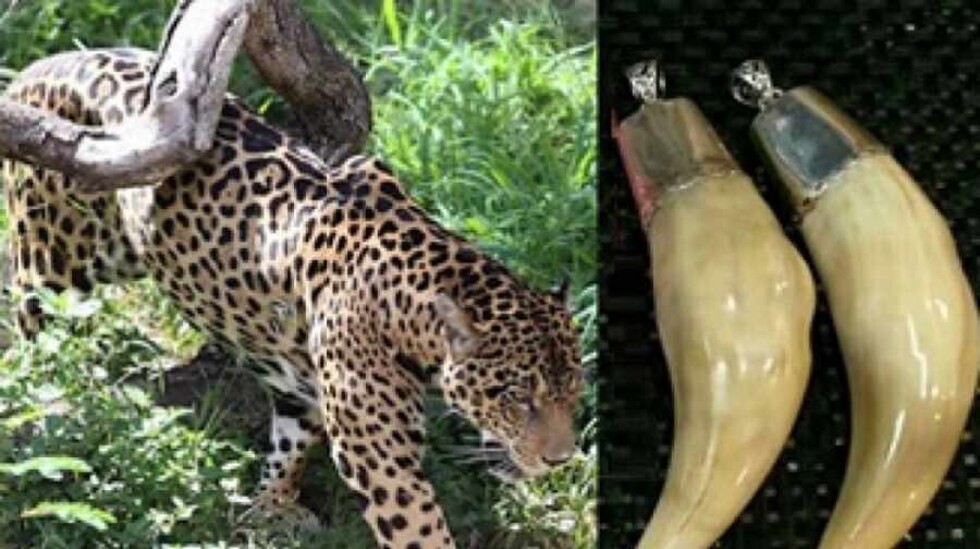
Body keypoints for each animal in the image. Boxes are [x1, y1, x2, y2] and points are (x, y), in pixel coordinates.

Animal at [0, 48, 583, 548]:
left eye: (572, 392)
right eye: (517, 397)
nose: (560, 460)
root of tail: (36, 68)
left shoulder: (301, 378)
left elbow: (292, 438)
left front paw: (270, 507)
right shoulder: (380, 458)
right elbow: (419, 529)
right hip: (50, 264)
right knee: (32, 332)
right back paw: (49, 411)